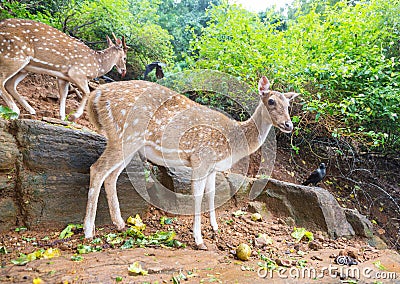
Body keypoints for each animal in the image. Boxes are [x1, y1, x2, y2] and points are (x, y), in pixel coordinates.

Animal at [83, 75, 296, 248]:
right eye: (271, 101)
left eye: (288, 105)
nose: (289, 125)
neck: (232, 144)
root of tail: (96, 94)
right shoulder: (201, 159)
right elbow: (198, 196)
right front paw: (199, 240)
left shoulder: (212, 167)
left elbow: (211, 194)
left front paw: (215, 228)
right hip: (124, 136)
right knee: (97, 169)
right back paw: (88, 231)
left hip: (128, 143)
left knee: (111, 176)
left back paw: (119, 224)